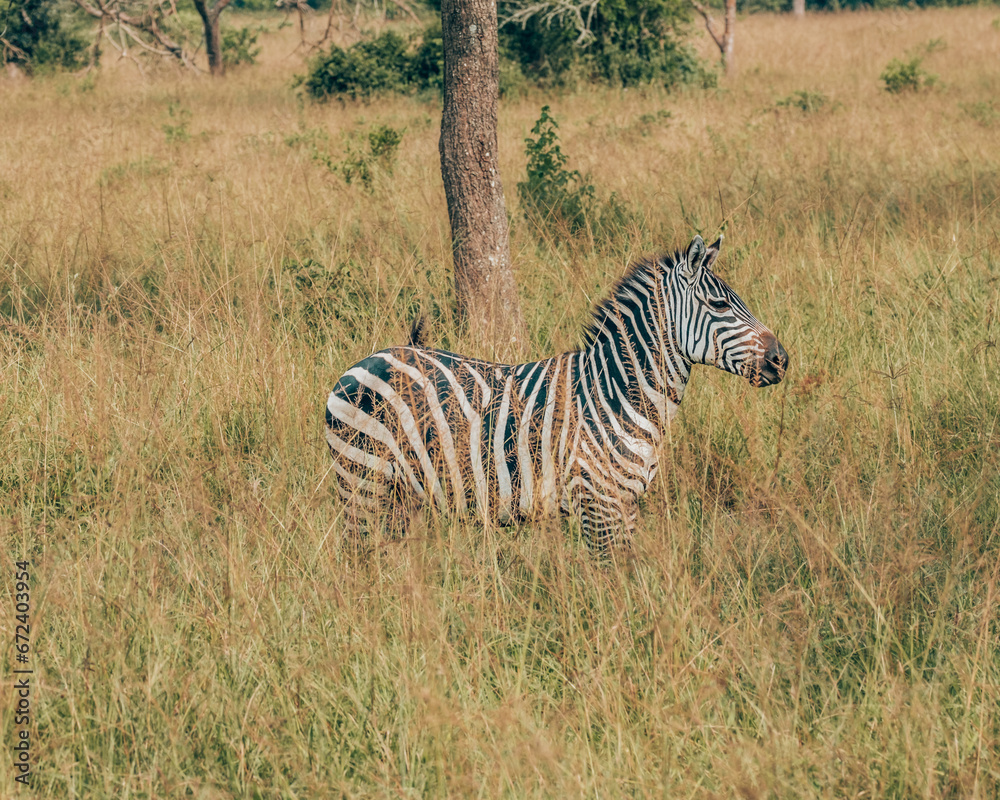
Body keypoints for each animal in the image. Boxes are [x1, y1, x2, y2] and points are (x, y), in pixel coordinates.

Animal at [324, 235, 788, 548]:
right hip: (363, 482)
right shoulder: (598, 502)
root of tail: (367, 360)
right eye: (719, 305)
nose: (782, 359)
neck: (620, 394)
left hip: (400, 496)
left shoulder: (627, 504)